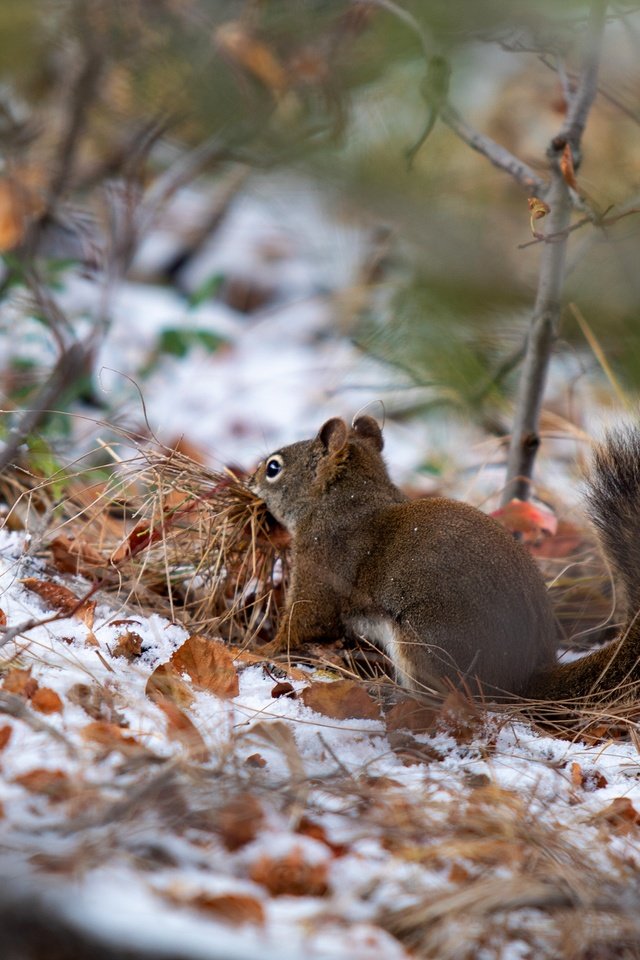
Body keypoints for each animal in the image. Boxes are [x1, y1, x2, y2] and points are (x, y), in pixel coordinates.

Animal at [250, 416, 640, 700]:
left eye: (274, 467)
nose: (250, 480)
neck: (348, 501)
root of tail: (524, 677)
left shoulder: (321, 563)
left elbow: (305, 618)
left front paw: (261, 648)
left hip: (425, 640)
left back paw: (386, 691)